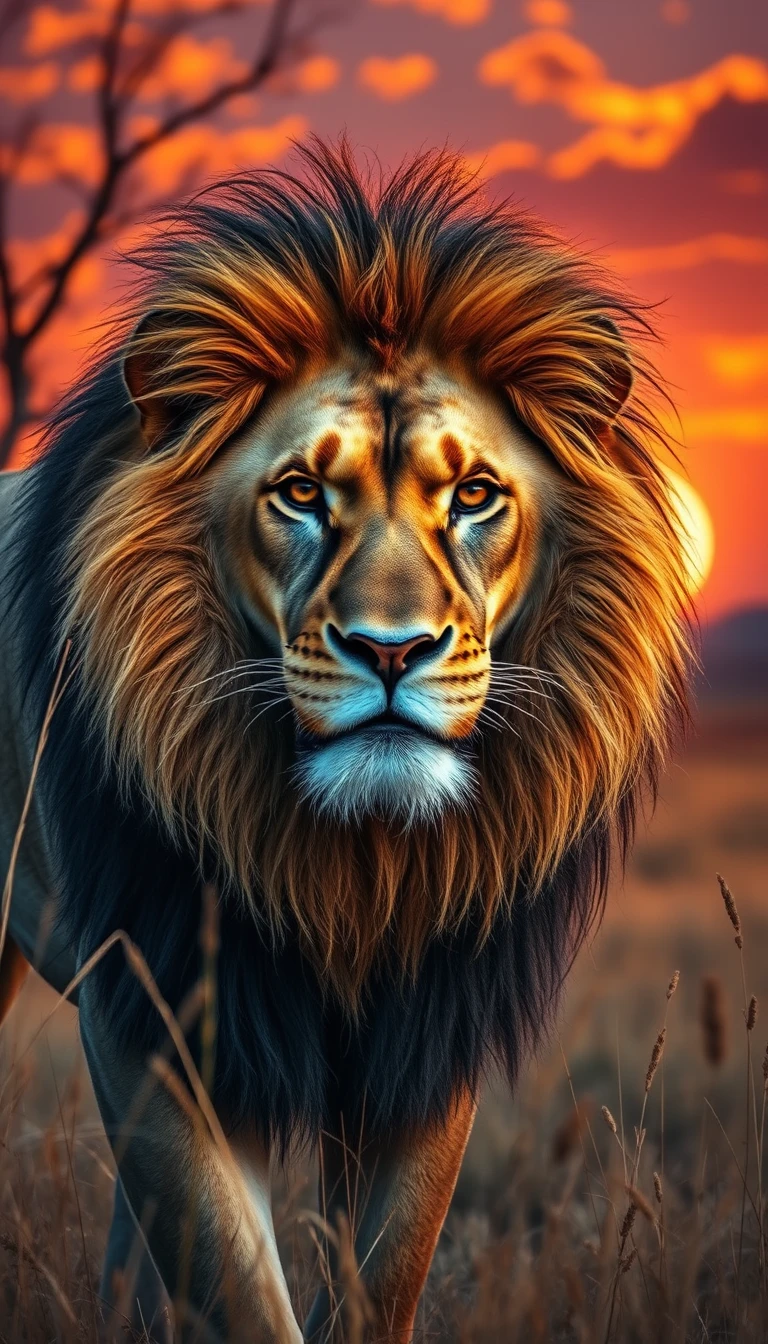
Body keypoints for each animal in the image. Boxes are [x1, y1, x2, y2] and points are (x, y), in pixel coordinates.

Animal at [0, 140, 690, 1342]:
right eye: (300, 493)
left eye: (475, 494)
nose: (390, 649)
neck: (347, 864)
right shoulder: (153, 1010)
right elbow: (239, 1288)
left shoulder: (425, 1032)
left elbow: (379, 1281)